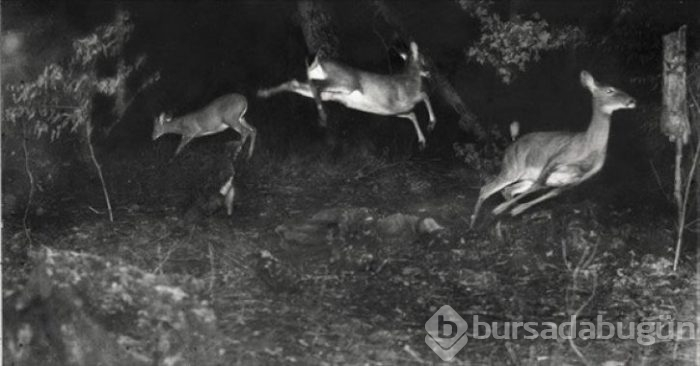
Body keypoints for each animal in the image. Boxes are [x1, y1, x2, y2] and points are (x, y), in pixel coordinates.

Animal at [254, 42, 434, 150]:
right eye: (424, 58)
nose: (429, 71)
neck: (410, 79)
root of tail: (319, 61)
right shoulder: (404, 100)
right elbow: (424, 96)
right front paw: (432, 124)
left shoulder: (394, 110)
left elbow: (412, 114)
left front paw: (422, 141)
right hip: (346, 82)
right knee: (316, 85)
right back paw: (322, 117)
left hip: (331, 93)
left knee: (296, 83)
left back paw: (263, 92)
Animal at [468, 70, 636, 227]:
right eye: (609, 90)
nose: (632, 100)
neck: (589, 146)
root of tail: (512, 144)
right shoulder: (555, 159)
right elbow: (538, 186)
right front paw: (501, 209)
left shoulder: (578, 179)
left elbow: (551, 193)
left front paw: (516, 210)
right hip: (512, 168)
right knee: (487, 189)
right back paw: (473, 225)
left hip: (525, 176)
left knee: (508, 190)